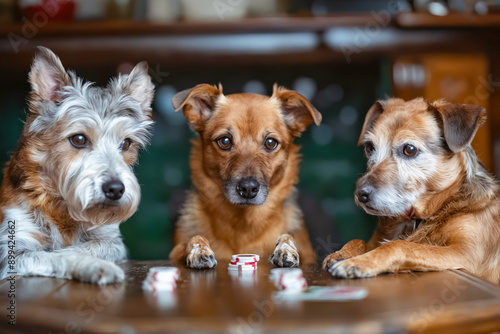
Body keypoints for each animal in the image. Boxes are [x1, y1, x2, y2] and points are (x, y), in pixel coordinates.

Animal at [170, 83, 322, 268]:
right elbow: (193, 238)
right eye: (224, 141)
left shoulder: (307, 253)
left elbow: (288, 236)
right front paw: (199, 250)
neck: (244, 224)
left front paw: (285, 249)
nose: (248, 189)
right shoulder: (174, 252)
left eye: (270, 143)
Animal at [322, 98, 500, 284]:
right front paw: (342, 254)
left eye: (410, 149)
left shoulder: (466, 254)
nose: (360, 195)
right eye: (370, 147)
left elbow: (400, 245)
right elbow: (359, 240)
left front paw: (358, 263)